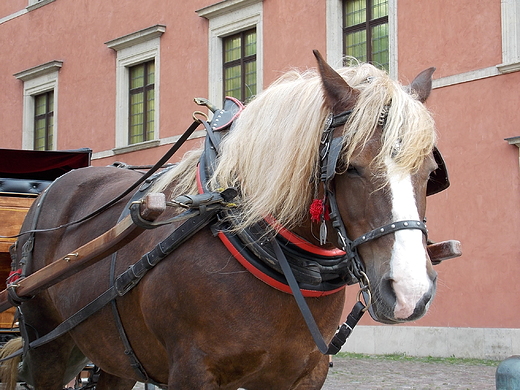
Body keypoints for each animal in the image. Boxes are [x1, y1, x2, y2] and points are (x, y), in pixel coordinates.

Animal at [0, 51, 438, 390]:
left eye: (430, 170)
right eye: (349, 167)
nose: (409, 292)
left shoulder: (303, 374)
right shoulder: (193, 372)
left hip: (112, 351)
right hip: (47, 343)